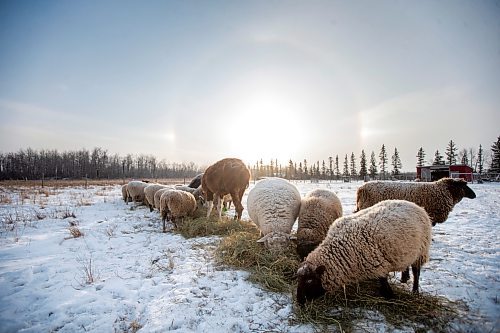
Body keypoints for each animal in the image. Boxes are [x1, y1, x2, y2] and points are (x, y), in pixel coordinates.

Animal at [294, 198, 432, 304]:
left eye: (309, 280)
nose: (299, 301)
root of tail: (415, 205)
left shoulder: (378, 263)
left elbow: (383, 280)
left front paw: (388, 295)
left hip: (421, 250)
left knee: (416, 272)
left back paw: (415, 291)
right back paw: (404, 278)